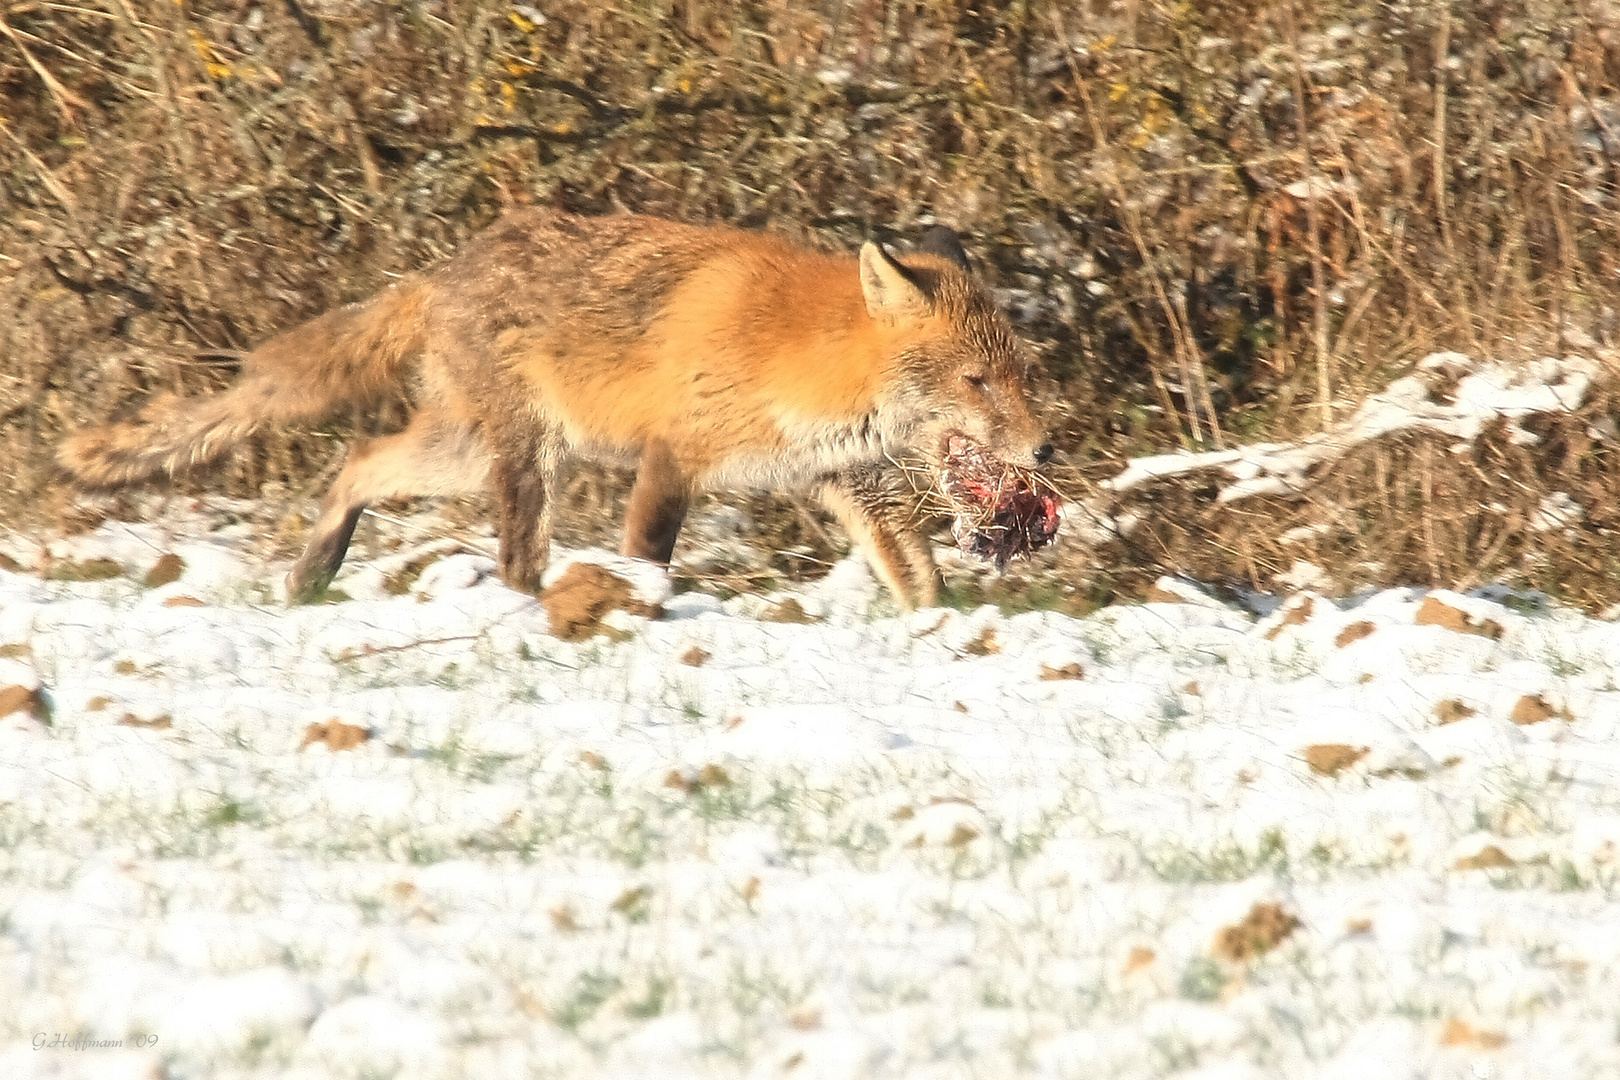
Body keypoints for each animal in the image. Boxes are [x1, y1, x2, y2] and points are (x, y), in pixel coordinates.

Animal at [59, 210, 1049, 608]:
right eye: (976, 382)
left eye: (1019, 373)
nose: (1043, 452)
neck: (803, 360)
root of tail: (438, 271)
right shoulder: (673, 460)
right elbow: (646, 554)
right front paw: (636, 608)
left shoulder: (841, 478)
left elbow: (916, 575)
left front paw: (940, 629)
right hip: (517, 458)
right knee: (482, 537)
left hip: (470, 452)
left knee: (360, 460)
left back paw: (313, 575)